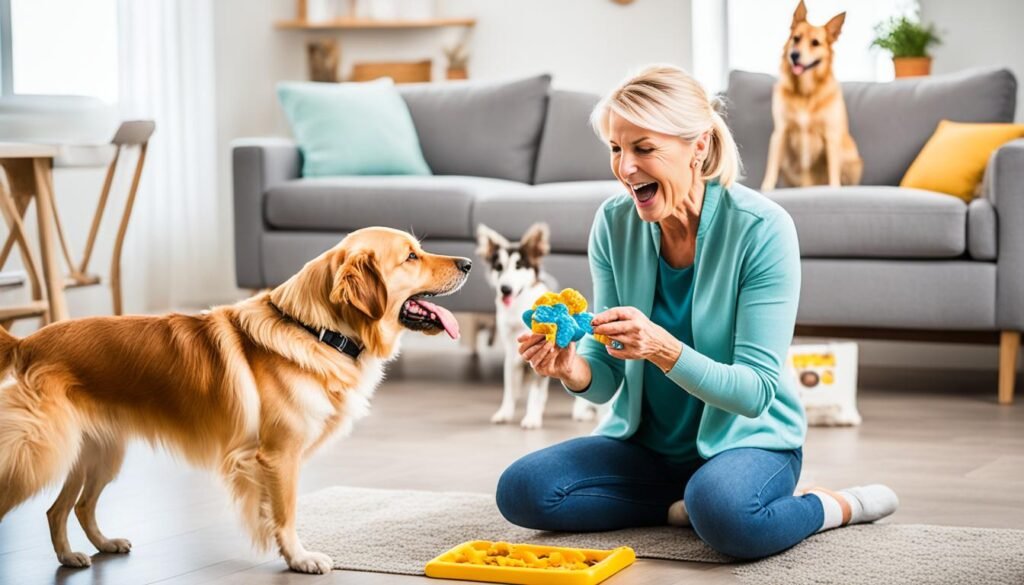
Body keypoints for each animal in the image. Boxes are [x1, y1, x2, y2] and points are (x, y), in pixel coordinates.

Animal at [473, 222, 598, 428]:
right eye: (498, 267)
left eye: (519, 266)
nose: (505, 289)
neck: (518, 306)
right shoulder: (512, 355)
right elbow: (509, 389)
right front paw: (504, 413)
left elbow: (535, 392)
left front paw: (531, 418)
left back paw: (581, 412)